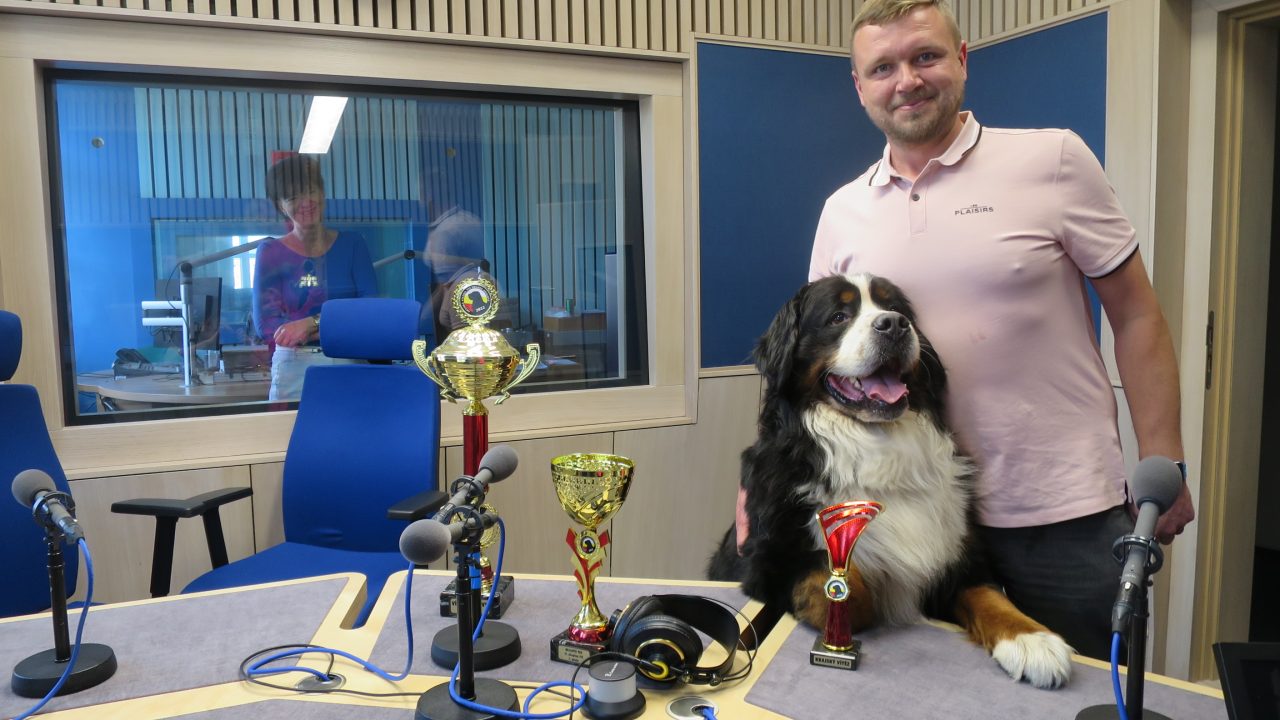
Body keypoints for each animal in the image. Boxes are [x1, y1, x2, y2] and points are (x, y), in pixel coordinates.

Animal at [708, 273, 1072, 689]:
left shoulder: (957, 549)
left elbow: (989, 593)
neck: (875, 445)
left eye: (896, 309)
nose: (894, 325)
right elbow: (853, 592)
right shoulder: (769, 560)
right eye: (838, 316)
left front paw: (1032, 639)